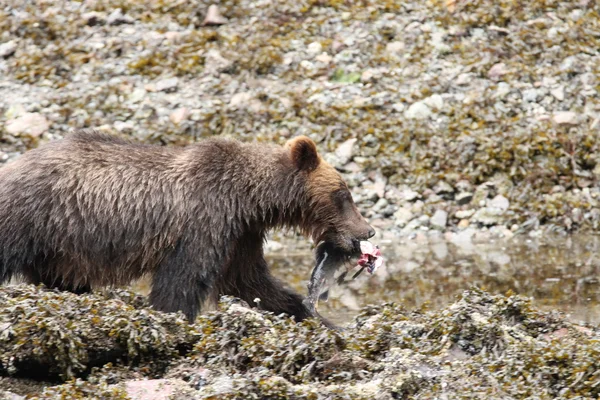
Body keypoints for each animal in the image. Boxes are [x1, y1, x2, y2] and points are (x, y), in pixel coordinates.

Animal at [0, 131, 376, 324]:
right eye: (343, 195)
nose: (368, 231)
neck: (247, 199)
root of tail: (13, 164)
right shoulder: (203, 221)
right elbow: (183, 280)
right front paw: (174, 318)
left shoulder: (240, 235)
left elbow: (251, 281)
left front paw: (314, 317)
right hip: (31, 218)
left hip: (60, 248)